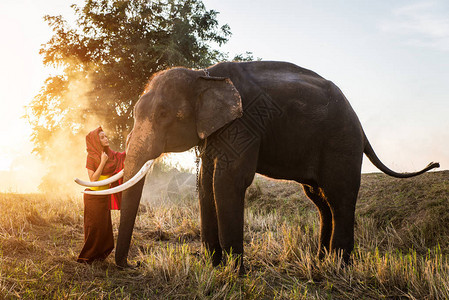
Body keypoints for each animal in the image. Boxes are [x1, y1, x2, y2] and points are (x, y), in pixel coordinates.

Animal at [79, 61, 440, 272]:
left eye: (168, 115)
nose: (130, 265)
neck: (204, 75)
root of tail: (361, 126)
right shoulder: (217, 129)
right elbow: (205, 181)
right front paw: (214, 267)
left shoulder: (245, 123)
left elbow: (227, 181)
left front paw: (234, 272)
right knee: (320, 200)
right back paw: (321, 261)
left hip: (342, 142)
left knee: (340, 198)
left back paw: (339, 268)